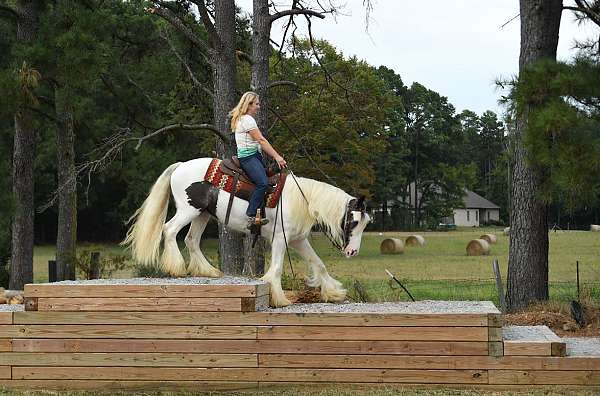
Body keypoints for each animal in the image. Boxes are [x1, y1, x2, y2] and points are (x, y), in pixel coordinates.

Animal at [122, 157, 370, 306]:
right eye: (354, 222)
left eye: (365, 223)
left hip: (202, 214)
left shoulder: (298, 240)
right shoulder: (280, 239)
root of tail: (181, 165)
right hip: (188, 210)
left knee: (191, 240)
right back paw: (177, 268)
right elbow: (276, 269)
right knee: (170, 230)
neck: (301, 199)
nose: (353, 252)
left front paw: (334, 292)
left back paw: (209, 271)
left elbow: (319, 264)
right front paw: (278, 298)